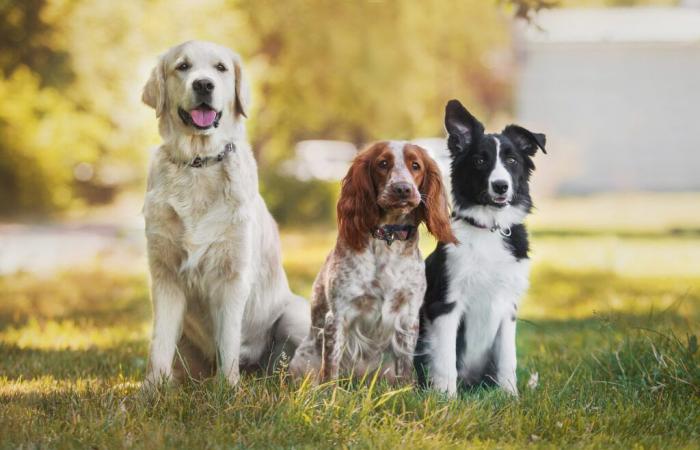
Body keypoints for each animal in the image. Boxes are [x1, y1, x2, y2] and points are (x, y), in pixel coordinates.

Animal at [141, 40, 308, 386]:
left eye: (220, 68)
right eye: (182, 66)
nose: (204, 84)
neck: (198, 163)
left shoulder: (232, 275)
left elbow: (228, 339)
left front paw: (228, 389)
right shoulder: (165, 275)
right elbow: (159, 344)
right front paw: (149, 391)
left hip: (296, 313)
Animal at [288, 142, 454, 384]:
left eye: (415, 165)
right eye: (382, 164)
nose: (403, 188)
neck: (388, 237)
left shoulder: (408, 316)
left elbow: (405, 367)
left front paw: (406, 390)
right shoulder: (338, 315)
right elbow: (331, 368)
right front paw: (329, 392)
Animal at [416, 98, 548, 394]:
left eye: (512, 160)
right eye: (479, 161)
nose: (500, 186)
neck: (489, 229)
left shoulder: (508, 307)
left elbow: (508, 360)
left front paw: (510, 396)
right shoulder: (445, 305)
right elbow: (446, 361)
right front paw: (446, 398)